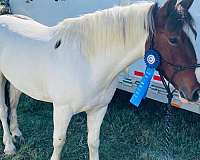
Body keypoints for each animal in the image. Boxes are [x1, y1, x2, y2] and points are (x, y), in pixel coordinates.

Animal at [0, 0, 198, 160]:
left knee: (14, 103)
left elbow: (93, 142)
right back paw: (9, 146)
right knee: (4, 110)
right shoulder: (62, 110)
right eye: (173, 39)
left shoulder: (99, 109)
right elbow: (59, 142)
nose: (194, 91)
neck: (88, 64)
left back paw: (17, 133)